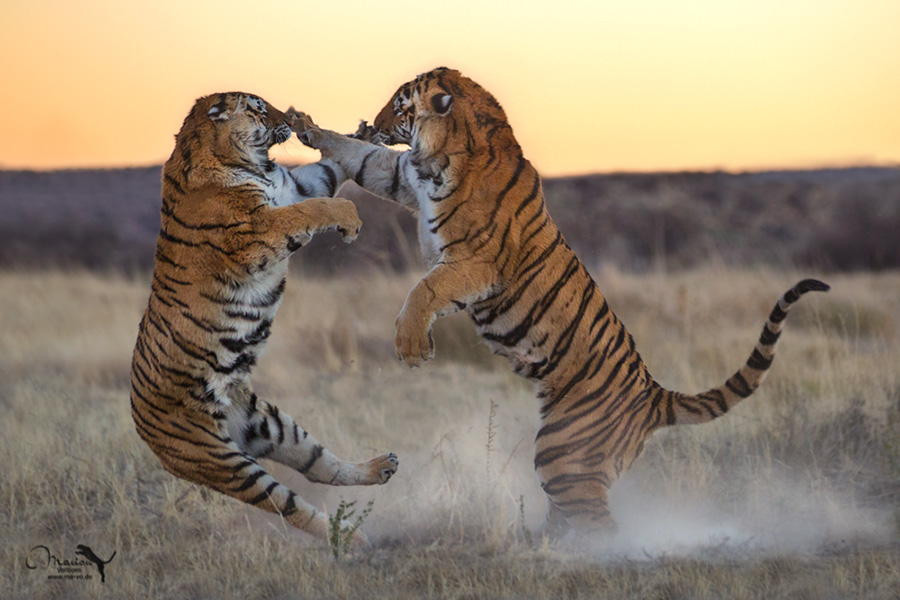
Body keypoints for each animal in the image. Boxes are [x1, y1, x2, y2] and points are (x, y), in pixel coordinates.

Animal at [132, 90, 400, 548]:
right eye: (258, 107)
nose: (286, 119)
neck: (250, 162)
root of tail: (137, 424)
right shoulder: (258, 228)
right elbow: (315, 208)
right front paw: (350, 219)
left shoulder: (294, 186)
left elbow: (328, 171)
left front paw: (351, 133)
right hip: (224, 463)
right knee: (290, 507)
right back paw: (351, 541)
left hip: (269, 424)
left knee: (322, 467)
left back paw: (380, 468)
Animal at [288, 68, 828, 540]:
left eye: (400, 104)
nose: (374, 122)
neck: (440, 155)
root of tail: (655, 395)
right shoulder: (400, 176)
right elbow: (360, 156)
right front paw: (305, 123)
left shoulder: (476, 262)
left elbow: (423, 290)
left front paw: (412, 348)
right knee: (573, 516)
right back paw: (537, 543)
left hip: (563, 452)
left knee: (600, 525)